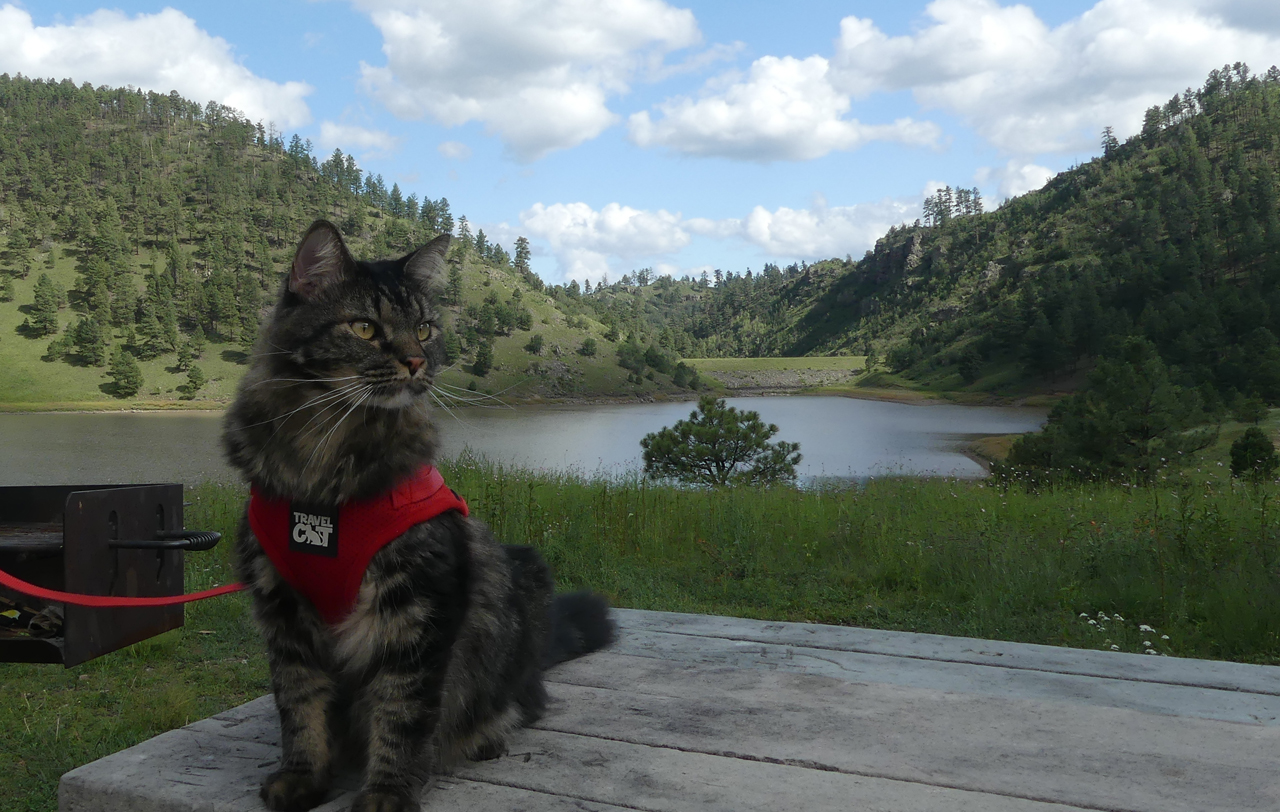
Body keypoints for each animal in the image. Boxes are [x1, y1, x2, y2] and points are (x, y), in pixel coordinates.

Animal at [221, 220, 614, 809]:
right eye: (365, 328)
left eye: (425, 329)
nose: (415, 361)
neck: (326, 461)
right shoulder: (281, 607)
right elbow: (299, 705)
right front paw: (303, 776)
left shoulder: (420, 602)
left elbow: (402, 713)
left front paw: (387, 793)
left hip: (522, 578)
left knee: (524, 702)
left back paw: (485, 737)